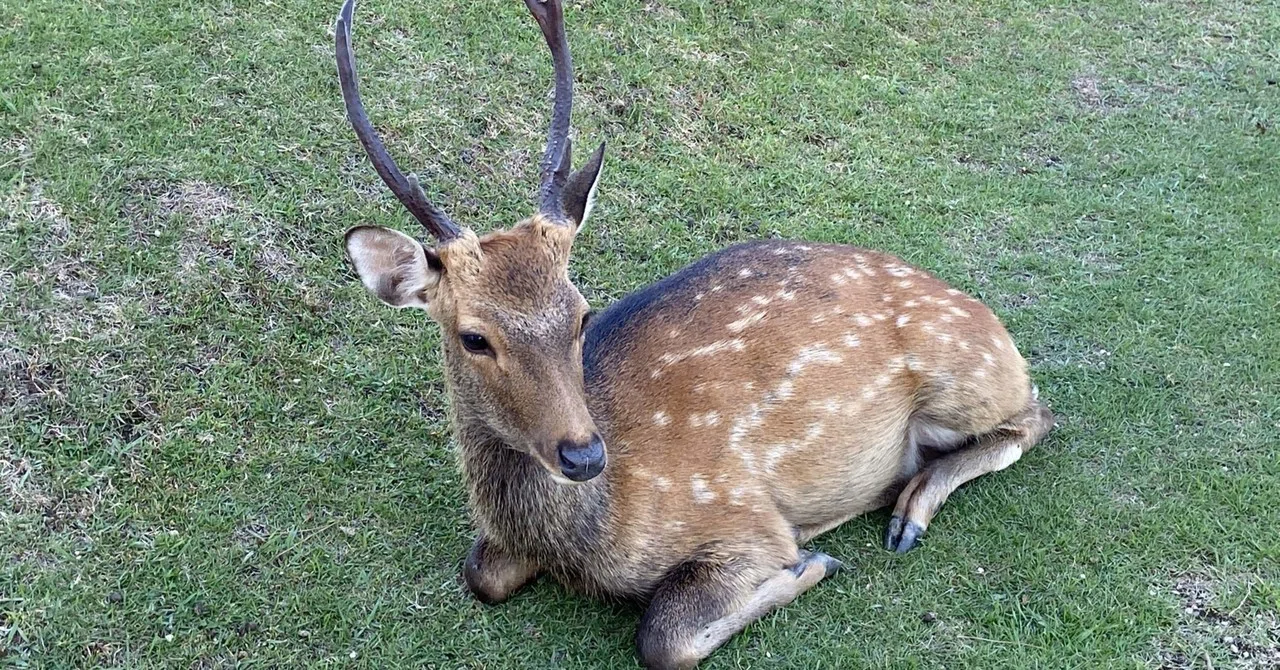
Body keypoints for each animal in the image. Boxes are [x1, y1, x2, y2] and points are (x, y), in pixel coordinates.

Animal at [334, 0, 1055, 667]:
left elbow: (663, 636)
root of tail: (983, 316)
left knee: (1036, 416)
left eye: (582, 313)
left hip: (963, 371)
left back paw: (909, 511)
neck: (589, 537)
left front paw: (812, 564)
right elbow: (479, 573)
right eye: (474, 337)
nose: (583, 455)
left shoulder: (744, 520)